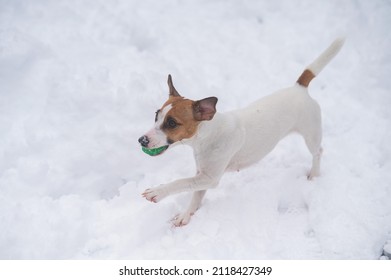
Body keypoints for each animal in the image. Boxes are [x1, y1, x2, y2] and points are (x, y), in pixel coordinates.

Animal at [139, 38, 346, 226]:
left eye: (172, 123)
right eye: (156, 115)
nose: (142, 140)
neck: (208, 135)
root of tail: (299, 88)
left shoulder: (210, 178)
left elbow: (181, 182)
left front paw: (158, 192)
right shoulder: (202, 175)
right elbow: (195, 195)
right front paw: (186, 215)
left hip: (311, 133)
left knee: (318, 152)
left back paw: (314, 175)